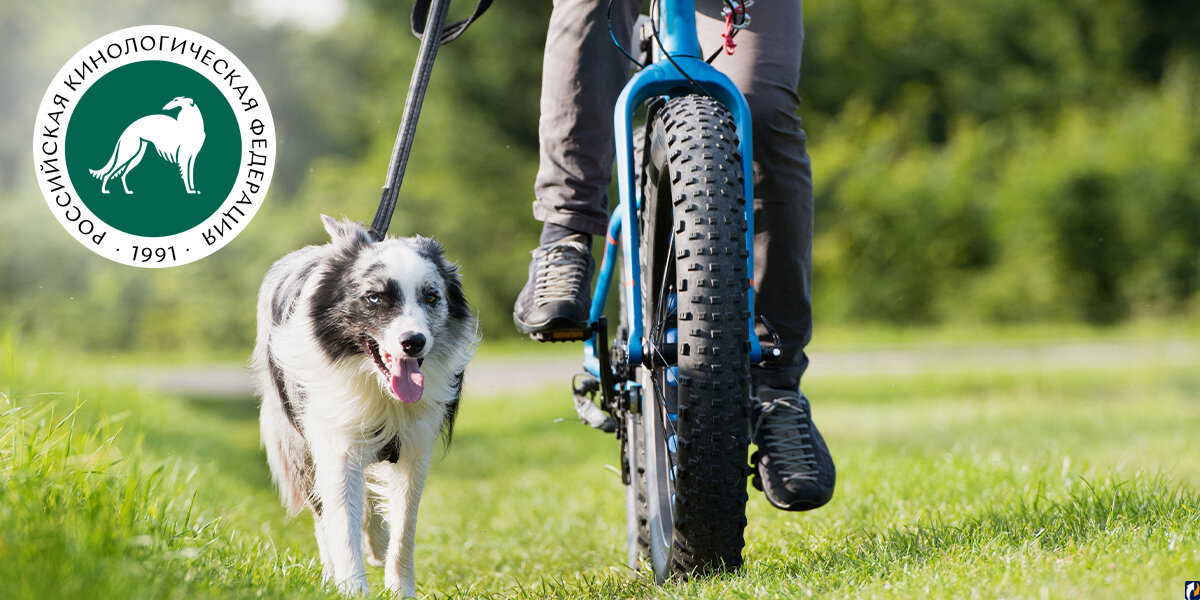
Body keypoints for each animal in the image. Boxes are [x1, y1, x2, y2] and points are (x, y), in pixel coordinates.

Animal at [250, 216, 475, 595]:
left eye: (431, 297)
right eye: (374, 297)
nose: (414, 342)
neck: (378, 387)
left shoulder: (414, 449)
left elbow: (404, 528)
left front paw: (401, 590)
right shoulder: (334, 442)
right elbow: (342, 524)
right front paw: (351, 589)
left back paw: (377, 542)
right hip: (297, 444)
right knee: (323, 515)